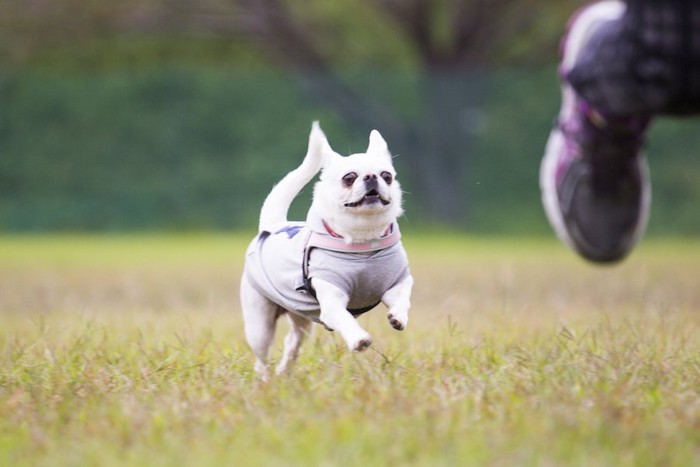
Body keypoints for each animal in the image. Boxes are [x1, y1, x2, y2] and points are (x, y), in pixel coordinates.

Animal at [243, 121, 412, 380]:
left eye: (387, 176)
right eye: (349, 177)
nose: (372, 176)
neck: (364, 243)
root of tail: (273, 225)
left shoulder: (397, 283)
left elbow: (402, 299)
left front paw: (398, 316)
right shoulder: (332, 303)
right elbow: (345, 318)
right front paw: (359, 339)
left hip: (300, 321)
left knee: (292, 342)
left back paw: (284, 371)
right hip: (259, 325)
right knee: (261, 358)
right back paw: (265, 379)